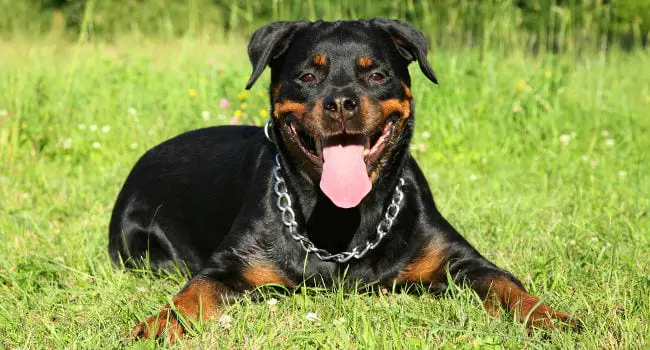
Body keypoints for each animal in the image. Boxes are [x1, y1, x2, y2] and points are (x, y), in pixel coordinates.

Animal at [109, 19, 576, 342]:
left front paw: (551, 317)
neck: (341, 219)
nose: (341, 102)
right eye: (308, 76)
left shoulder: (460, 259)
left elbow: (505, 284)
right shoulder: (229, 265)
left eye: (376, 74)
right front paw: (157, 326)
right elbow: (192, 294)